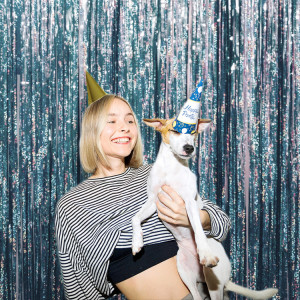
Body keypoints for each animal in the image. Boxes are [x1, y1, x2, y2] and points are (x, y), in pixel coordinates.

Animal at [132, 118, 278, 300]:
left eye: (194, 133)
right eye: (175, 130)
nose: (189, 148)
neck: (171, 168)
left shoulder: (188, 202)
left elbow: (198, 230)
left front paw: (205, 253)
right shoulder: (153, 201)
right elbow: (135, 218)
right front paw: (136, 242)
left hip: (214, 281)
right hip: (185, 272)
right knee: (196, 295)